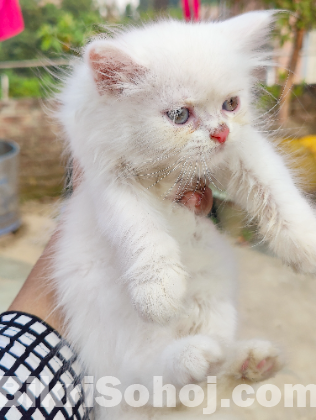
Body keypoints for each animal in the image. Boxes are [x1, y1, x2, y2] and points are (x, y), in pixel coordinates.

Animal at [53, 9, 316, 420]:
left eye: (230, 104)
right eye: (179, 115)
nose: (221, 133)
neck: (166, 170)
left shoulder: (242, 153)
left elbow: (276, 190)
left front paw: (305, 245)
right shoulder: (108, 182)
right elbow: (141, 232)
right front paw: (159, 292)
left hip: (217, 303)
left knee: (204, 382)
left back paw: (251, 362)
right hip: (117, 350)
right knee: (152, 380)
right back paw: (196, 355)